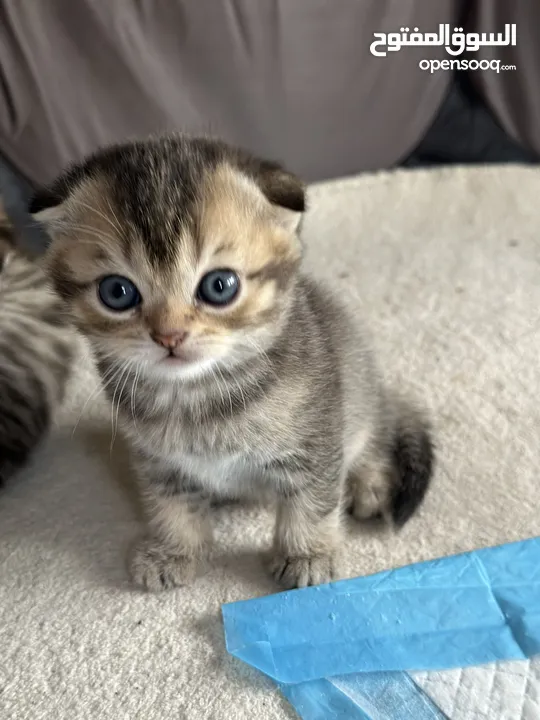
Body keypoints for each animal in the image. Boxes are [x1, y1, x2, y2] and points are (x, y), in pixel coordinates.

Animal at [30, 135, 434, 592]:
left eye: (219, 286)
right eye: (117, 292)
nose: (169, 336)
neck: (197, 397)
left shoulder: (317, 435)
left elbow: (311, 500)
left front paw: (306, 554)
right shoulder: (159, 460)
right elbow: (170, 504)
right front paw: (175, 550)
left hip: (357, 385)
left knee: (371, 435)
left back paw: (370, 484)